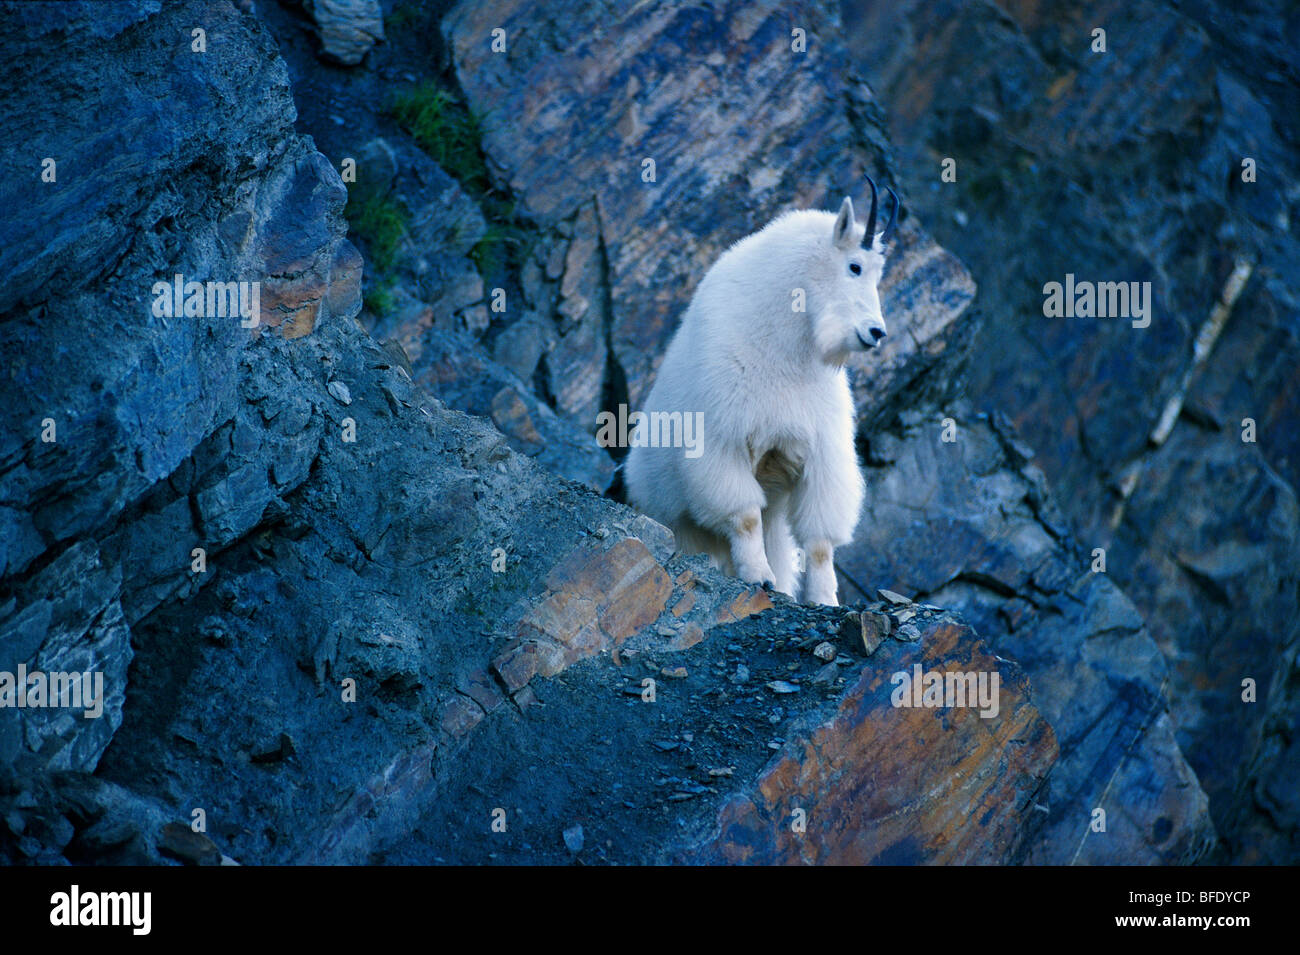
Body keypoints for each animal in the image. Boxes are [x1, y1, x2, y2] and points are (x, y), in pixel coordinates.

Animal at [626, 178, 899, 605]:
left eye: (878, 274)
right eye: (855, 266)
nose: (876, 332)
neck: (789, 347)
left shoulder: (820, 451)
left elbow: (819, 543)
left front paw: (825, 599)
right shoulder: (723, 442)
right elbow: (745, 517)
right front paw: (759, 577)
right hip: (672, 514)